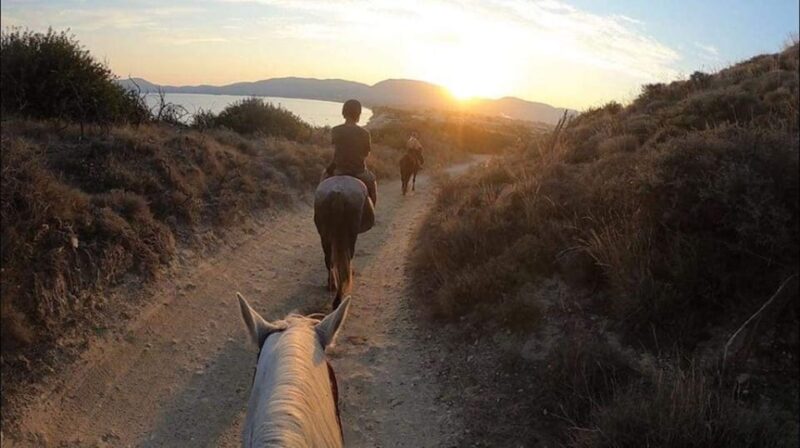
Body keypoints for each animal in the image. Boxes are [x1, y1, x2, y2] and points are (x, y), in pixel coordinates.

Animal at [313, 175, 373, 308]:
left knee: (329, 260)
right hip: (350, 235)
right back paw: (339, 297)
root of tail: (338, 193)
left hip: (325, 236)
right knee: (345, 262)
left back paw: (331, 285)